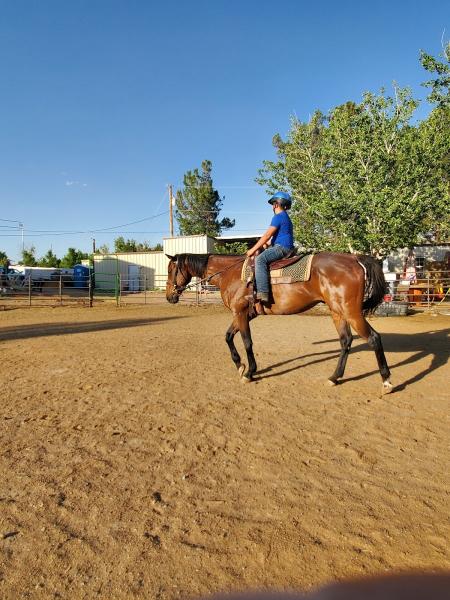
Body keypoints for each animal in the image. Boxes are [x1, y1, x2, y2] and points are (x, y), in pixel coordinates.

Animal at [163, 252, 392, 394]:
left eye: (170, 270)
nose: (169, 297)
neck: (230, 274)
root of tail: (354, 259)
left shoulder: (241, 314)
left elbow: (247, 342)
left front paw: (250, 372)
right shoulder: (243, 315)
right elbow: (228, 336)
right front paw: (239, 365)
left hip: (352, 313)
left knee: (374, 338)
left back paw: (387, 381)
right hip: (338, 313)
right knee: (345, 341)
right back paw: (334, 377)